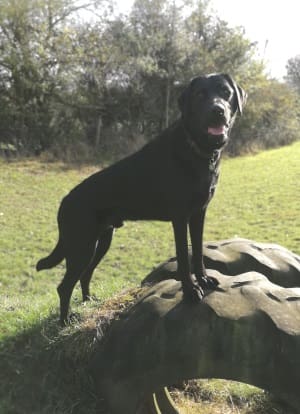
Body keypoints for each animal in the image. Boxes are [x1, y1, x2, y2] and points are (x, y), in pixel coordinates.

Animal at [37, 73, 246, 324]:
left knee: (84, 275)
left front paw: (204, 279)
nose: (218, 110)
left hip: (101, 241)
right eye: (199, 95)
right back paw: (66, 321)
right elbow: (183, 257)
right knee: (64, 286)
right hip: (81, 246)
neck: (196, 149)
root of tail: (64, 202)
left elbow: (197, 253)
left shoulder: (198, 214)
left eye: (226, 92)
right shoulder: (180, 218)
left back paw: (89, 301)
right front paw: (190, 291)